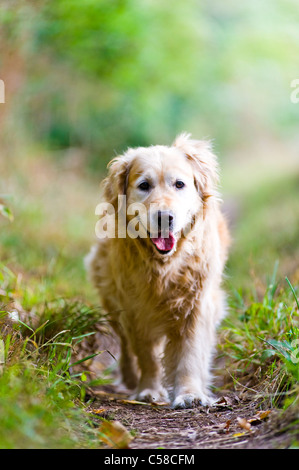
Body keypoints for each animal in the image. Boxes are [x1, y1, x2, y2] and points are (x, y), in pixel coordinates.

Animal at [85, 132, 231, 408]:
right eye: (144, 185)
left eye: (179, 184)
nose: (165, 217)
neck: (164, 267)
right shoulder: (136, 308)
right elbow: (147, 355)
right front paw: (148, 390)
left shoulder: (197, 305)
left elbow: (190, 353)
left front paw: (190, 393)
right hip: (112, 299)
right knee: (124, 343)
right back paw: (130, 377)